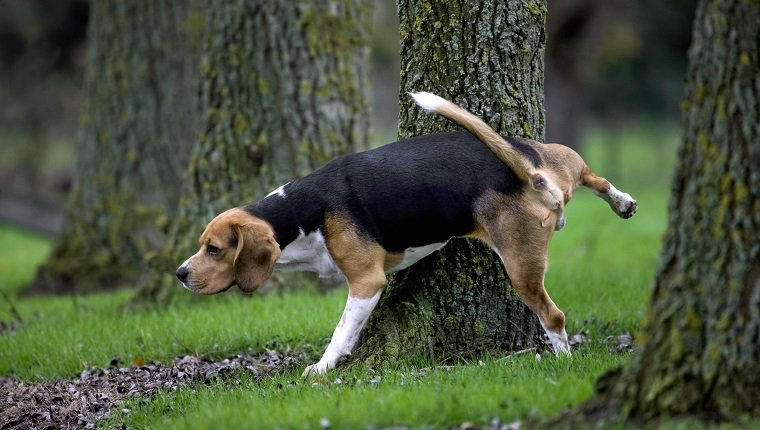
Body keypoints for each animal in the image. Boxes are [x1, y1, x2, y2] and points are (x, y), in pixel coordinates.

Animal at [175, 92, 640, 374]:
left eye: (214, 250)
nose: (180, 273)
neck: (304, 212)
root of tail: (534, 175)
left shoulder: (366, 283)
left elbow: (341, 331)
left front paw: (321, 368)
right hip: (556, 156)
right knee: (592, 176)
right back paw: (623, 201)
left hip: (521, 266)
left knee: (554, 316)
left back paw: (562, 359)